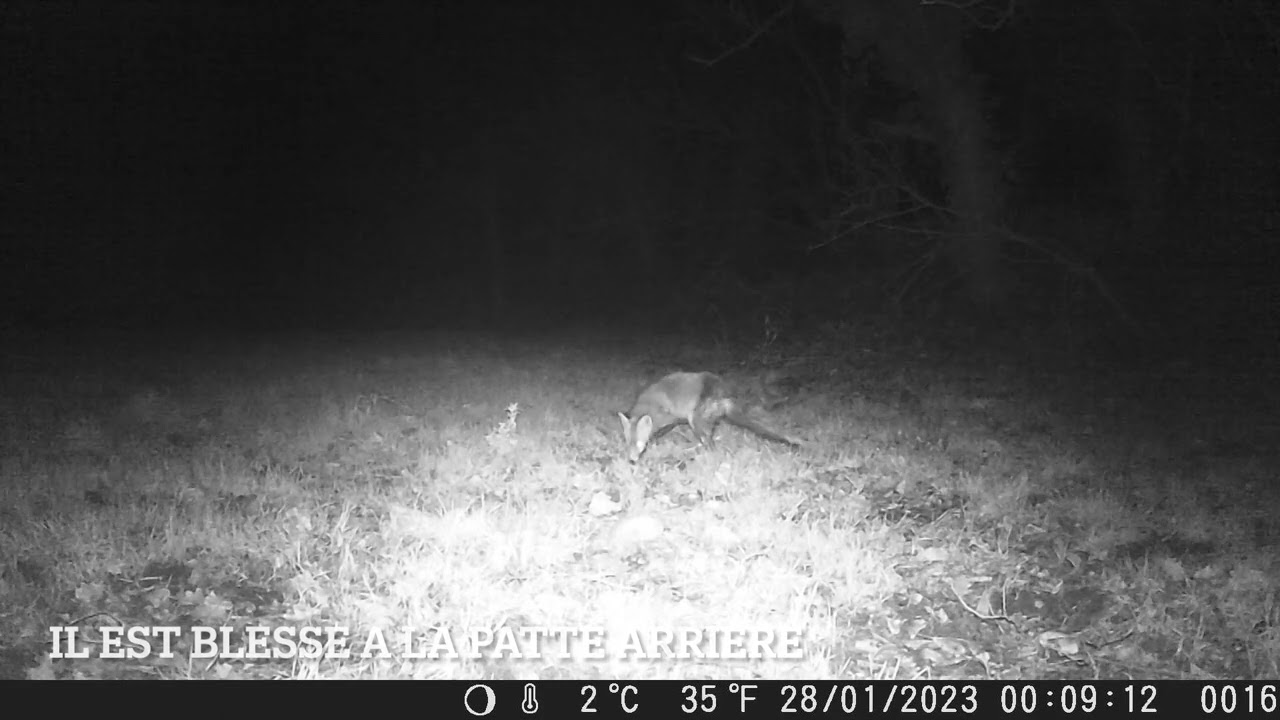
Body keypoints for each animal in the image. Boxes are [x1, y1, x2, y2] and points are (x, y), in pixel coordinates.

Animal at [617, 371, 800, 463]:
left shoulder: (670, 418)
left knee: (710, 444)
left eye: (639, 443)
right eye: (627, 443)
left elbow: (659, 432)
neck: (649, 405)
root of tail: (724, 393)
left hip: (695, 419)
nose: (632, 460)